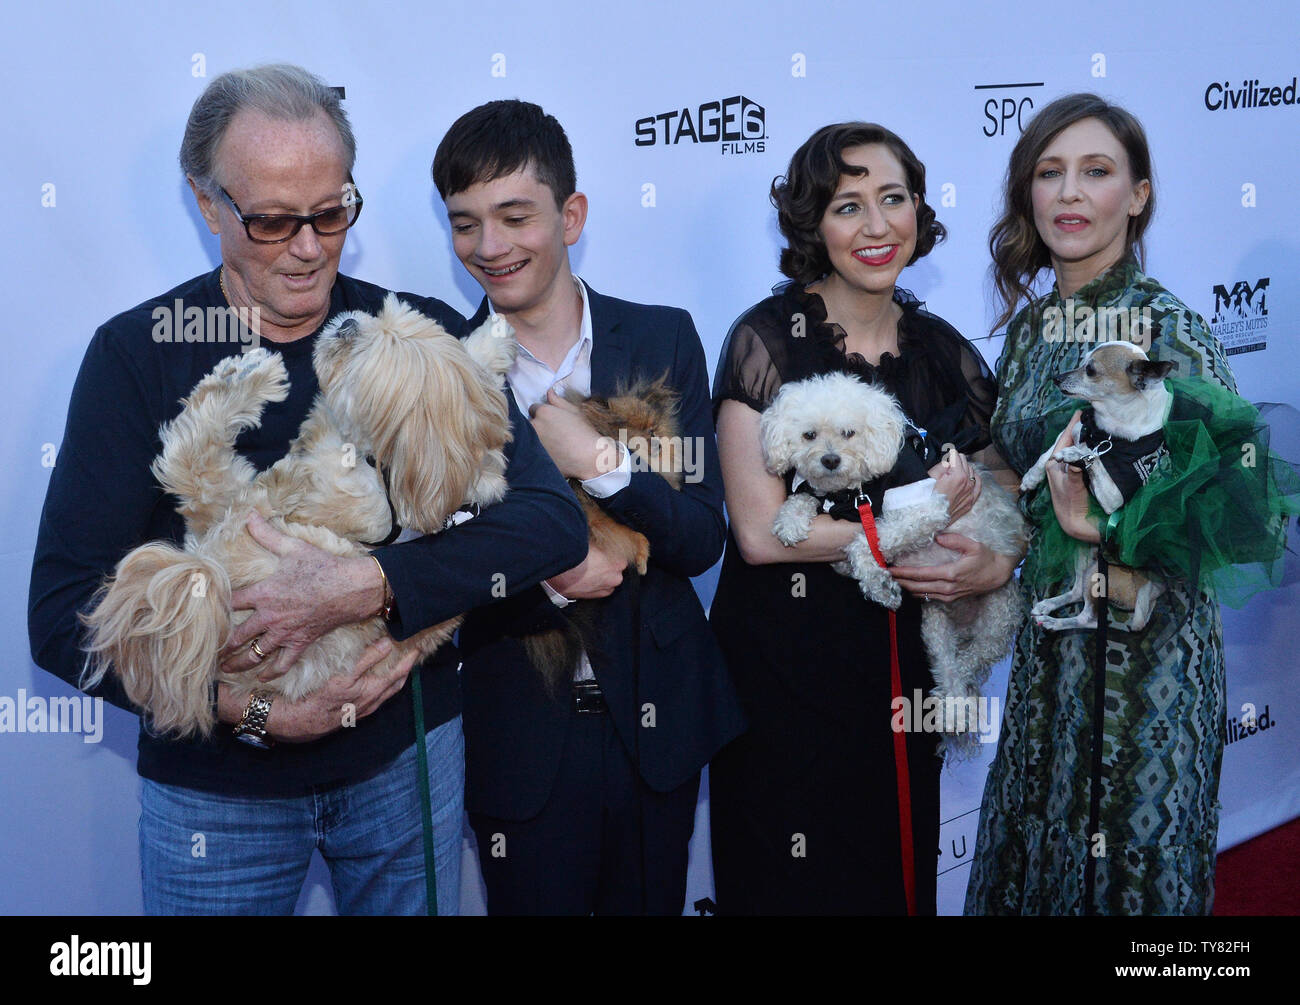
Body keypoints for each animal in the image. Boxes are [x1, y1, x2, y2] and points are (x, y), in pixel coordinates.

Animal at [759, 371, 1024, 748]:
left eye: (849, 432)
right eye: (809, 435)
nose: (829, 460)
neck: (854, 492)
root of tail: (963, 620)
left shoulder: (924, 507)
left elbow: (865, 543)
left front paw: (879, 586)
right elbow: (808, 496)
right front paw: (791, 519)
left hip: (997, 620)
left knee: (969, 660)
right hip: (935, 628)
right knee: (949, 666)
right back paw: (952, 709)